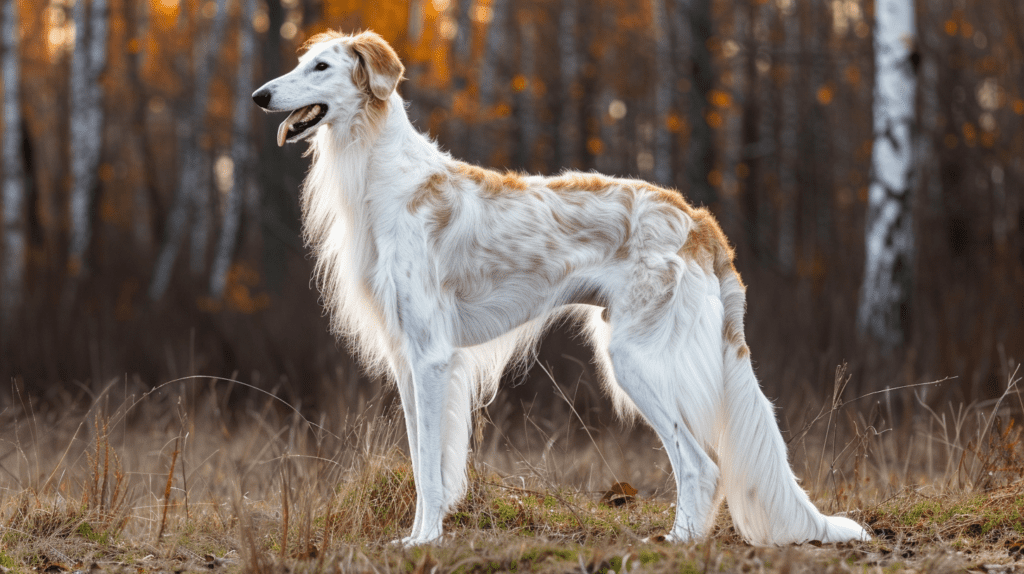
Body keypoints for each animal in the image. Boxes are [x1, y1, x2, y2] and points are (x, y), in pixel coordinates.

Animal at [251, 31, 868, 544]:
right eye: (300, 62)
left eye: (321, 66)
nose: (259, 95)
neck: (388, 182)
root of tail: (698, 222)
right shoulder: (408, 358)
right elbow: (428, 463)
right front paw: (421, 535)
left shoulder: (431, 357)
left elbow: (429, 469)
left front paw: (423, 542)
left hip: (637, 359)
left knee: (702, 464)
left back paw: (677, 543)